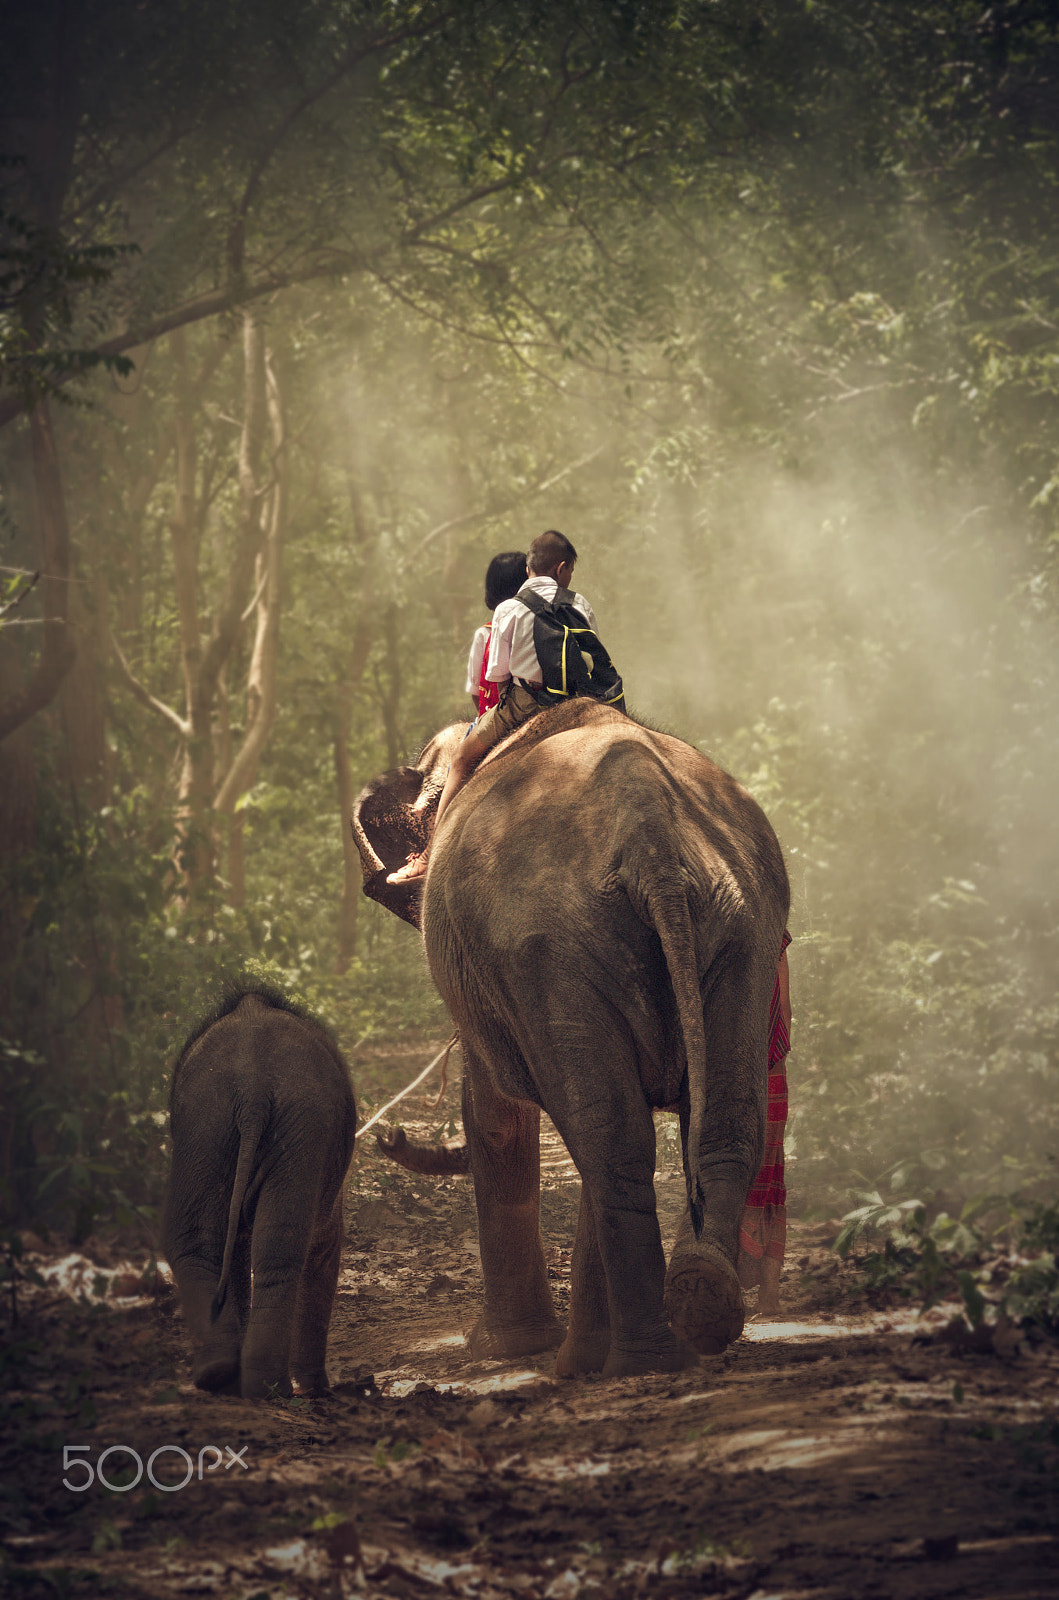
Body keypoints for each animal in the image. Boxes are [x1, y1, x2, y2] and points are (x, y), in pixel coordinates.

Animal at [162, 984, 357, 1398]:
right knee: (282, 1247)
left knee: (198, 1240)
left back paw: (223, 1375)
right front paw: (317, 1390)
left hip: (210, 1125)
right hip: (293, 1127)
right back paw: (267, 1387)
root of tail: (252, 1089)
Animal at [352, 700, 789, 1378]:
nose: (391, 1136)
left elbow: (495, 1116)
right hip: (739, 932)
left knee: (609, 1138)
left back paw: (624, 1360)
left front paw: (501, 1349)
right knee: (694, 1128)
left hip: (550, 948)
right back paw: (691, 1311)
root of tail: (654, 842)